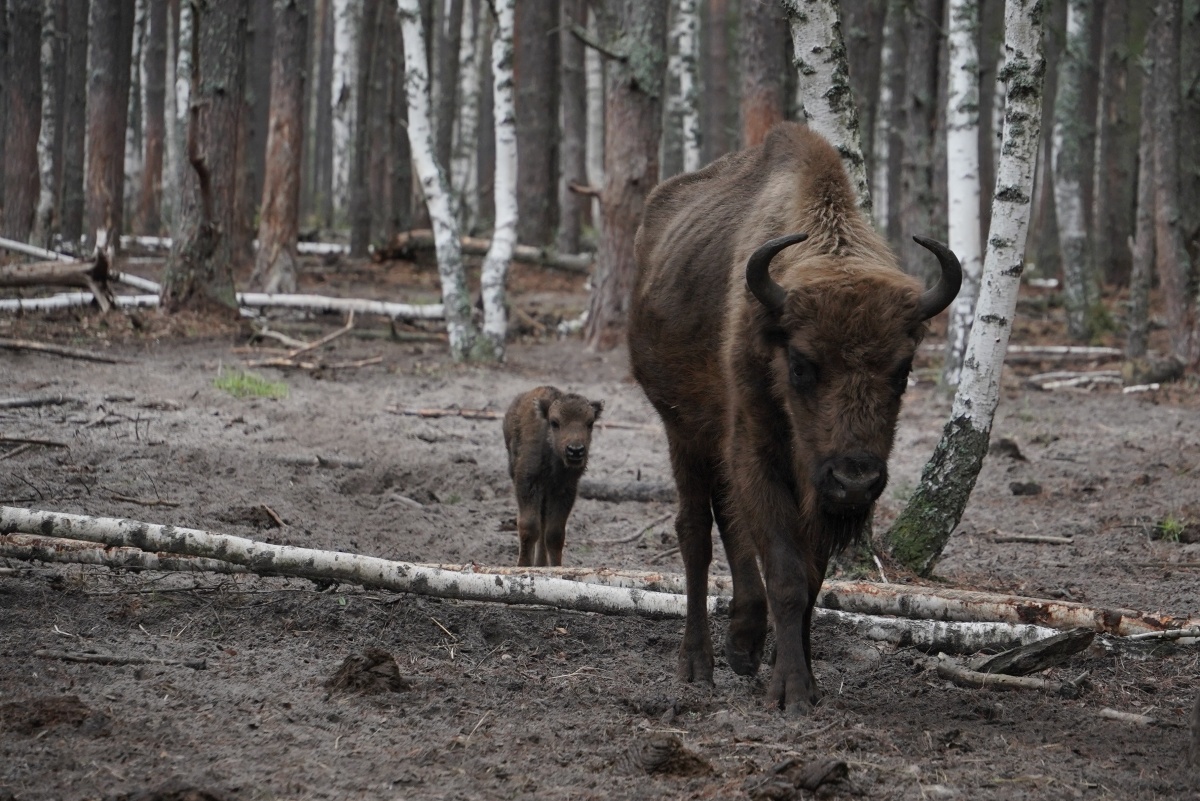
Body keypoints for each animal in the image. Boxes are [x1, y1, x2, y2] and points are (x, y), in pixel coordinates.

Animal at [501, 383, 604, 565]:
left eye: (590, 423)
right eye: (555, 422)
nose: (575, 451)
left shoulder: (564, 490)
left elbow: (554, 535)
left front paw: (556, 568)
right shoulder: (527, 483)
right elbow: (529, 528)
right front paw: (523, 566)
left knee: (544, 525)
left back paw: (541, 565)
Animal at [633, 123, 960, 714]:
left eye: (903, 369)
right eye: (803, 363)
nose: (856, 479)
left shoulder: (811, 486)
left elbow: (808, 580)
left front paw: (797, 671)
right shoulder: (757, 449)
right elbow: (784, 573)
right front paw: (790, 690)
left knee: (730, 523)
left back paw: (744, 645)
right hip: (682, 429)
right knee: (695, 533)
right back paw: (698, 665)